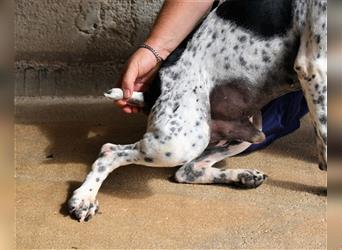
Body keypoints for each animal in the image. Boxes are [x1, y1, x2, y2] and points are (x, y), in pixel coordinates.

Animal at [67, 0, 326, 223]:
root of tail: (152, 92)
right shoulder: (314, 65)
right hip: (180, 141)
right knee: (110, 151)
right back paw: (84, 198)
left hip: (245, 134)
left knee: (187, 171)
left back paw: (243, 176)